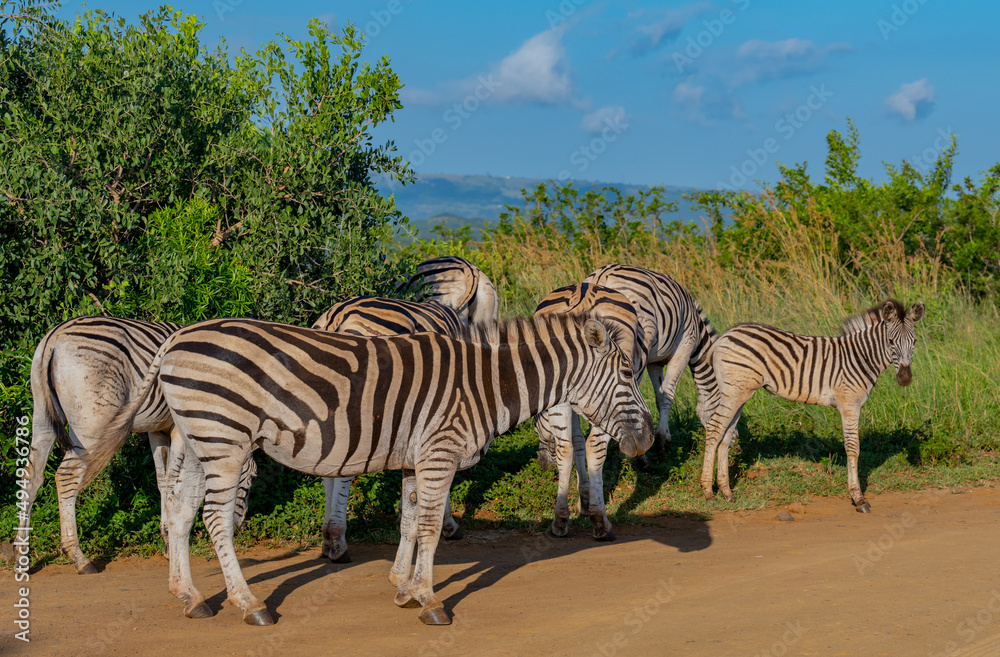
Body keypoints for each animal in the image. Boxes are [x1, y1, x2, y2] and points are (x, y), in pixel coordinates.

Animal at [17, 316, 257, 574]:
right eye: (252, 477)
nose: (240, 526)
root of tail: (55, 335)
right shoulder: (179, 428)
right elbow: (173, 478)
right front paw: (172, 540)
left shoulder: (157, 430)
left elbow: (162, 480)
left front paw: (166, 539)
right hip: (91, 426)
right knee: (66, 476)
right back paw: (79, 557)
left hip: (42, 416)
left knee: (31, 476)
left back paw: (20, 556)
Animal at [532, 282, 647, 540]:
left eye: (535, 427)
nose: (542, 465)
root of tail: (583, 291)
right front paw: (588, 503)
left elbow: (575, 442)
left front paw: (582, 499)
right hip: (607, 397)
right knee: (595, 447)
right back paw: (600, 522)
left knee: (565, 448)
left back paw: (560, 521)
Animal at [700, 299, 924, 512]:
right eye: (891, 341)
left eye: (914, 341)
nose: (905, 378)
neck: (861, 358)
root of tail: (726, 334)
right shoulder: (850, 404)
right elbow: (853, 447)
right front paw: (858, 498)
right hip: (734, 391)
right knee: (715, 428)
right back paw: (708, 492)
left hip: (739, 393)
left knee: (726, 434)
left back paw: (727, 492)